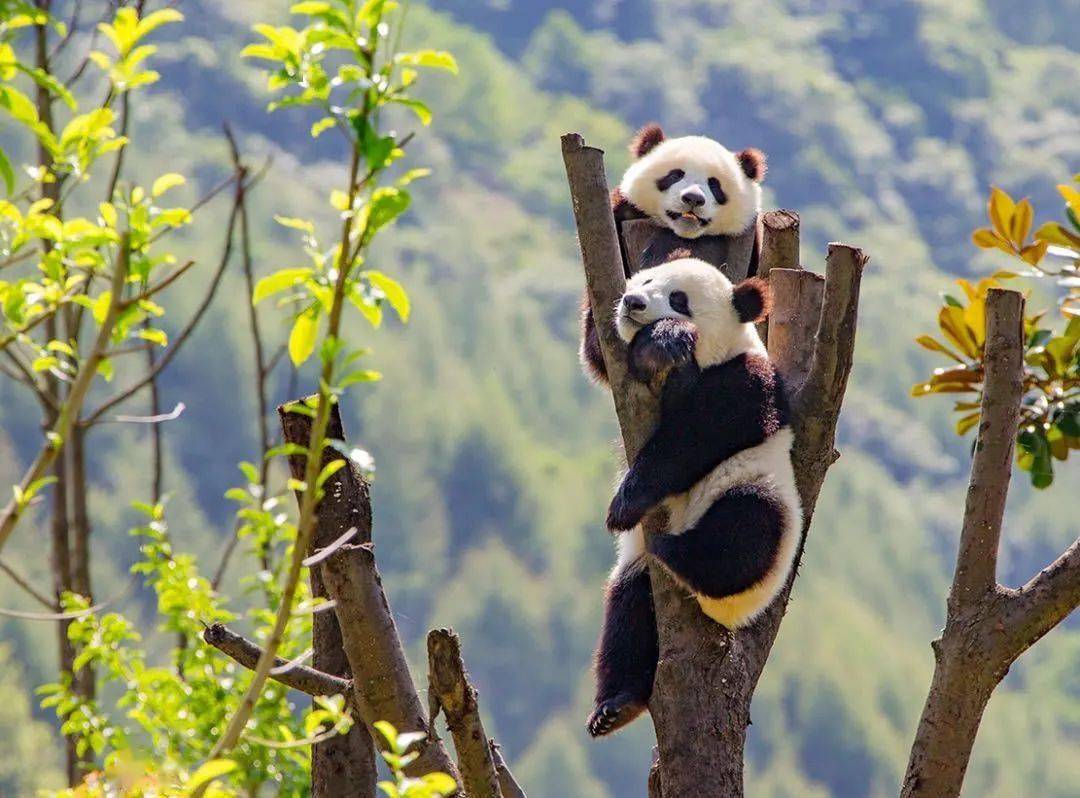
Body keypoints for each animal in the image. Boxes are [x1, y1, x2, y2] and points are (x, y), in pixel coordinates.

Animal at [583, 254, 803, 738]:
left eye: (679, 299)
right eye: (646, 278)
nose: (634, 301)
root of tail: (726, 616)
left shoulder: (747, 381)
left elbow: (696, 435)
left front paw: (624, 504)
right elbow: (599, 355)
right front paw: (653, 343)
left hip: (762, 498)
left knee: (744, 534)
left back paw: (677, 552)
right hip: (637, 579)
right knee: (628, 612)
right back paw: (617, 704)